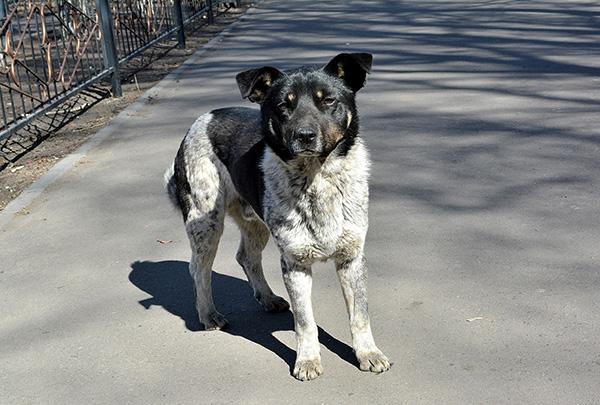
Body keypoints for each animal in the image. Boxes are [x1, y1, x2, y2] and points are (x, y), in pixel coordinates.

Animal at [164, 51, 392, 378]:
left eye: (328, 101)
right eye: (284, 105)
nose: (305, 136)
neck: (316, 177)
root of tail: (202, 119)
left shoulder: (352, 258)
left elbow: (359, 314)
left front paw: (368, 353)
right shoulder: (295, 264)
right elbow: (305, 321)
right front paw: (307, 360)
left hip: (255, 223)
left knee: (246, 257)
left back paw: (268, 298)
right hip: (206, 222)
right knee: (199, 269)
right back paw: (208, 314)